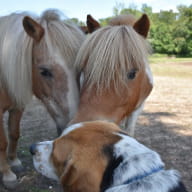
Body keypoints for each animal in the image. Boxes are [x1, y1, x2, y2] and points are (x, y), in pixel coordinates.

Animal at [0, 9, 85, 188]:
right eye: (44, 71)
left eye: (79, 71)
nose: (72, 126)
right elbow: (2, 142)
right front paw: (7, 174)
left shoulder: (17, 105)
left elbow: (14, 132)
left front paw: (14, 161)